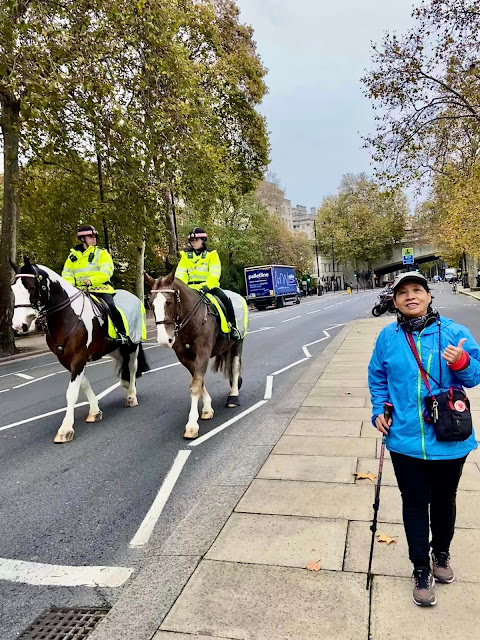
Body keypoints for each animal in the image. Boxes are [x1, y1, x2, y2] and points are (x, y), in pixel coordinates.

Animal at [10, 258, 148, 442]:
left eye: (31, 288)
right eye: (13, 289)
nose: (19, 325)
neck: (68, 317)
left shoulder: (79, 357)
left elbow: (72, 392)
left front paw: (66, 429)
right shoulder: (66, 360)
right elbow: (83, 384)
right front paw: (95, 411)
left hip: (132, 344)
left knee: (132, 367)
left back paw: (131, 395)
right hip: (114, 348)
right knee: (121, 362)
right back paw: (124, 383)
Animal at [144, 270, 244, 440]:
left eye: (168, 302)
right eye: (151, 304)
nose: (164, 340)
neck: (192, 322)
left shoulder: (202, 353)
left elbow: (196, 385)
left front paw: (191, 425)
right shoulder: (185, 358)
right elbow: (198, 381)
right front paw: (207, 408)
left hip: (238, 343)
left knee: (235, 367)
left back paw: (233, 395)